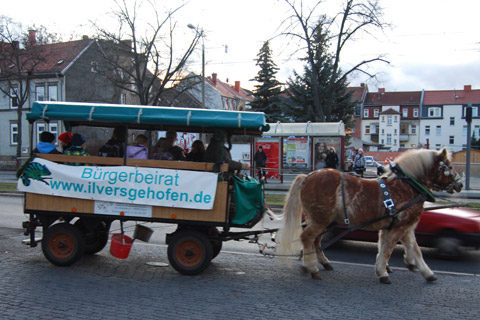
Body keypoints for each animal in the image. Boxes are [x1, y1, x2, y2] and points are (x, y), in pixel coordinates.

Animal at [278, 149, 462, 284]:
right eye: (449, 166)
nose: (460, 184)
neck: (407, 185)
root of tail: (308, 176)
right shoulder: (399, 227)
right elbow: (388, 249)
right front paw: (383, 272)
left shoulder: (403, 227)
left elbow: (413, 249)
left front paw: (425, 272)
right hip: (320, 220)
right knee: (307, 238)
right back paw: (312, 268)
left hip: (323, 221)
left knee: (315, 241)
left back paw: (320, 262)